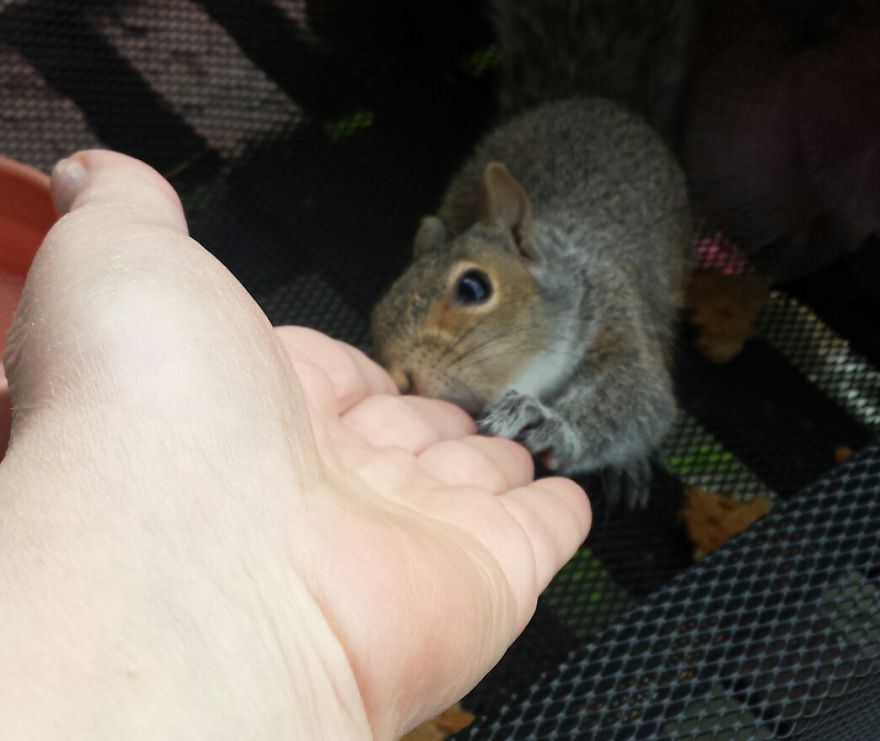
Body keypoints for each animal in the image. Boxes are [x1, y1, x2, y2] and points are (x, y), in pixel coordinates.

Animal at [371, 0, 695, 507]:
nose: (404, 378)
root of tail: (590, 98)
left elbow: (642, 401)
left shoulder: (619, 316)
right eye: (378, 313)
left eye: (473, 287)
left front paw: (546, 422)